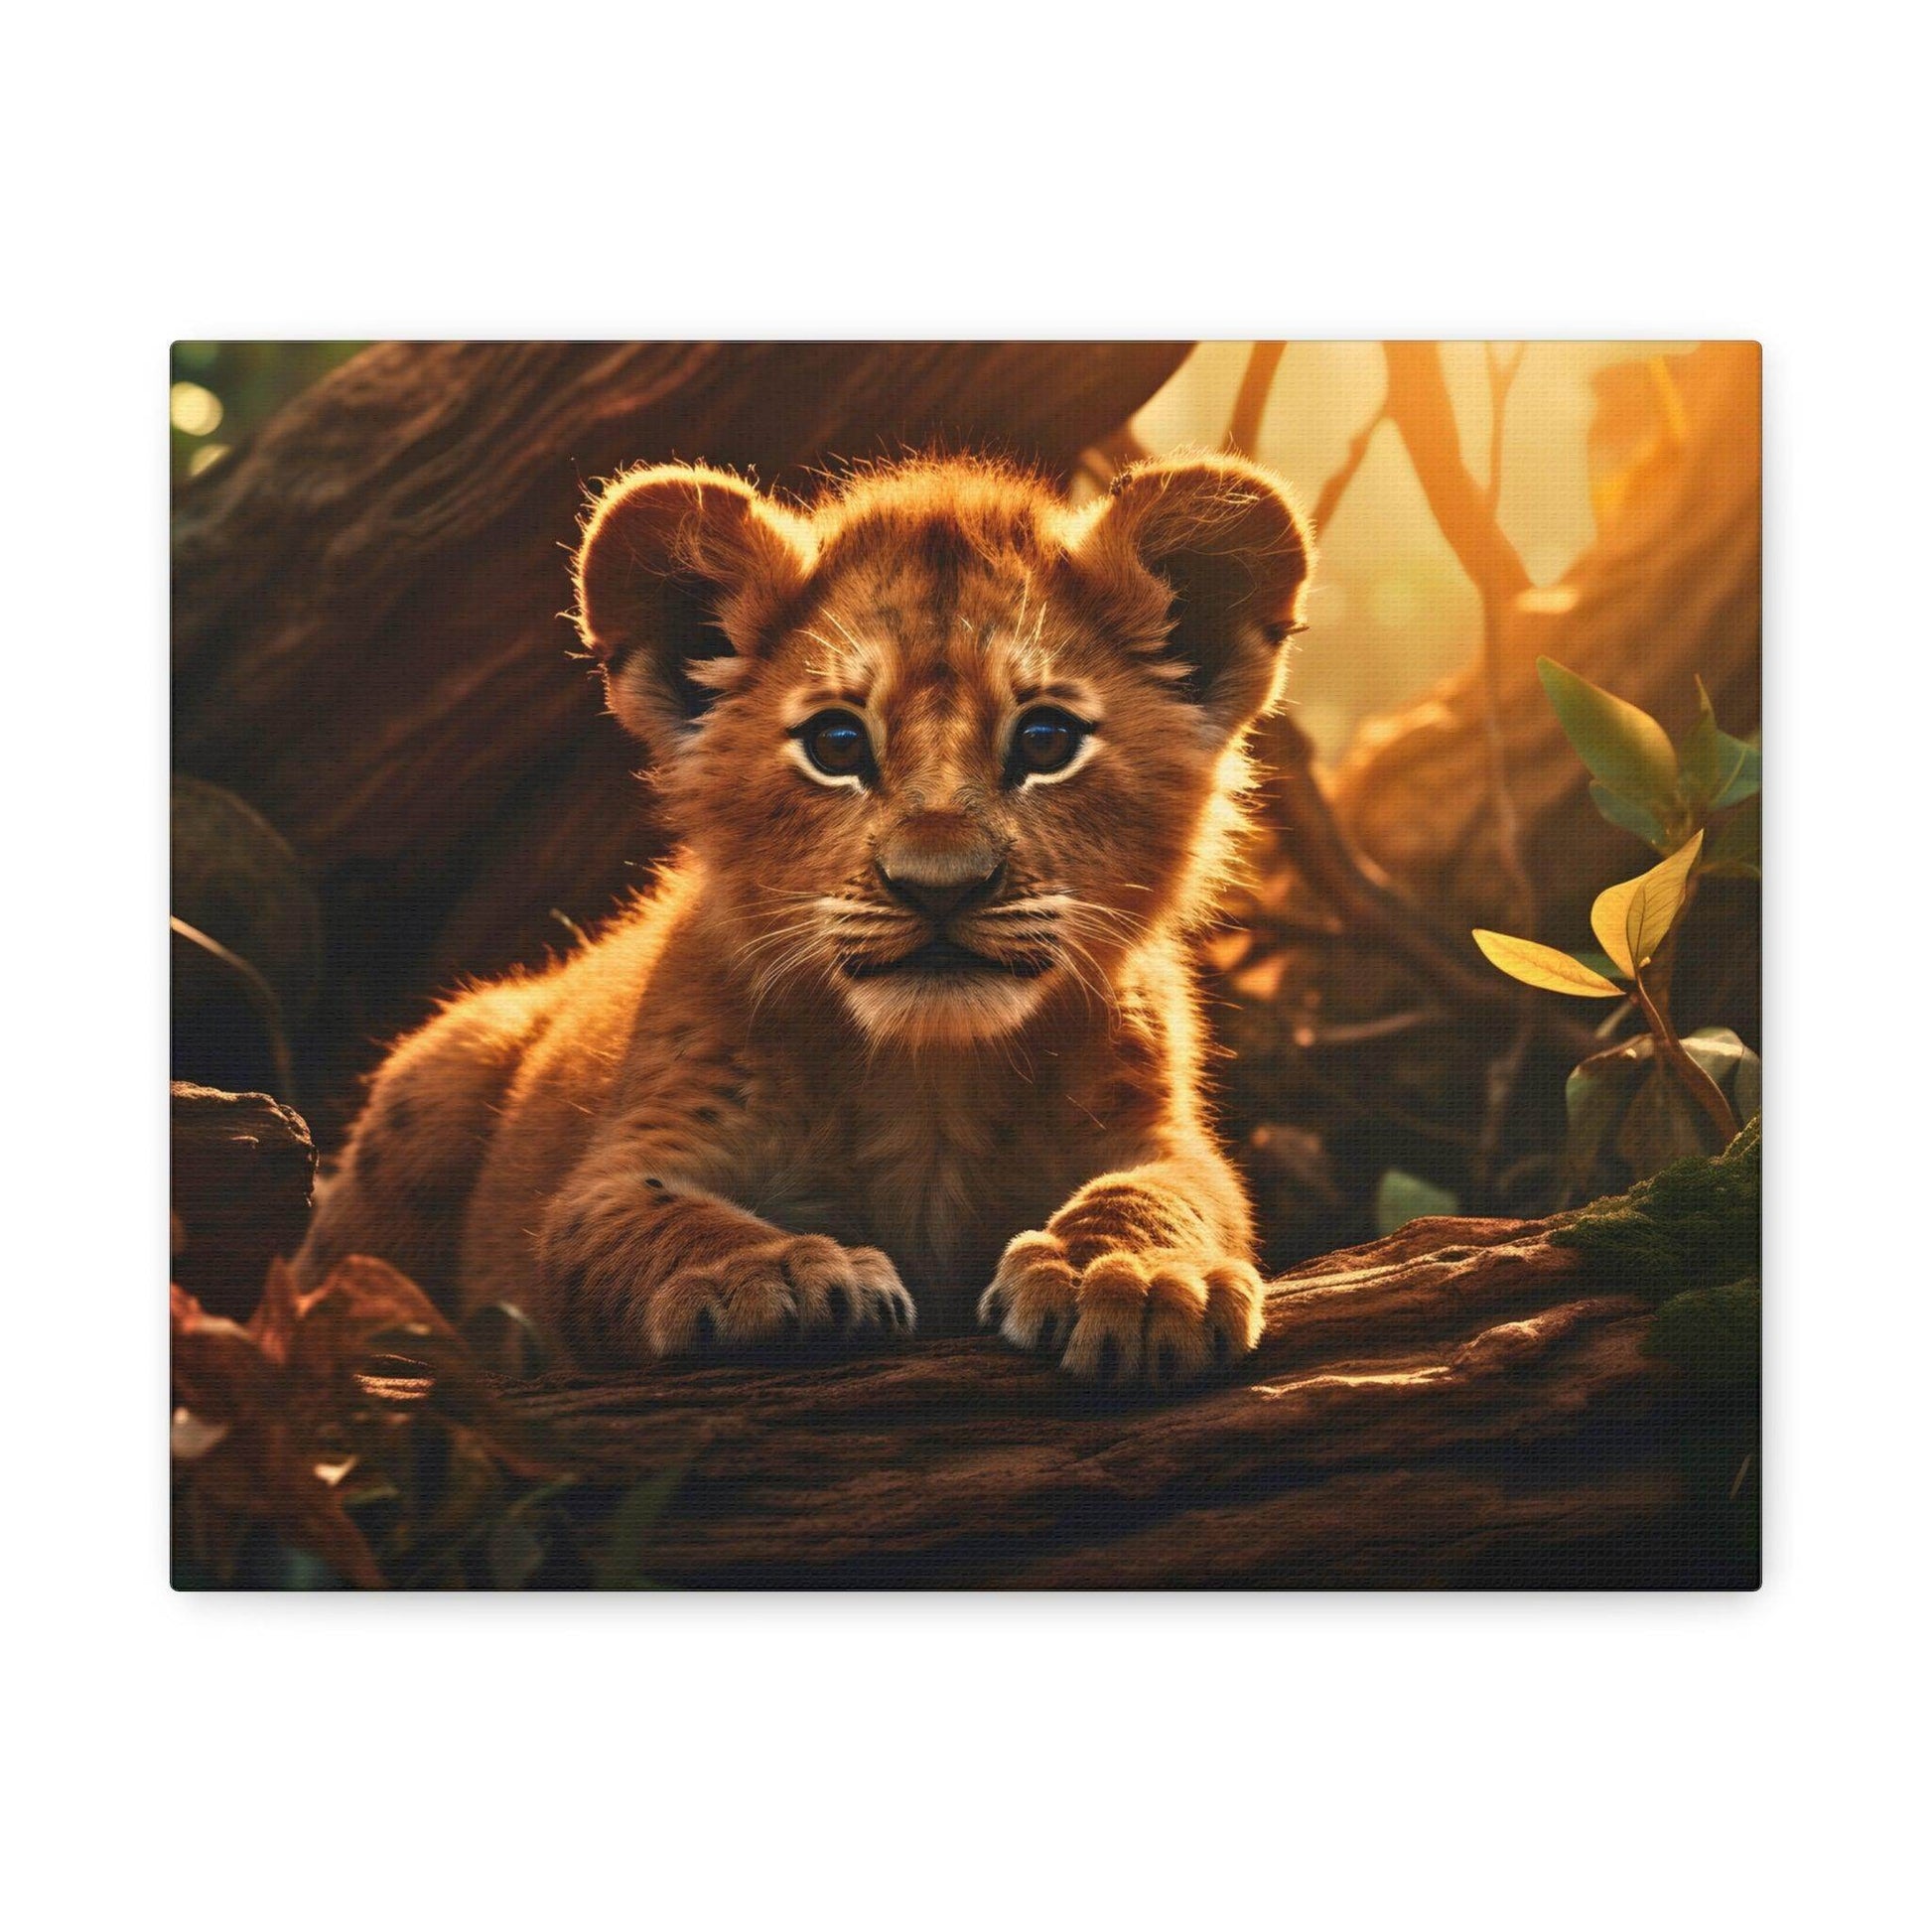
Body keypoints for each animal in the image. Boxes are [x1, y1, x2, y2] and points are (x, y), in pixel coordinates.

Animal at [294, 452, 1313, 1384]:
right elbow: (656, 1218)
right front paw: (768, 1276)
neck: (930, 1083)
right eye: (836, 743)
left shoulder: (1163, 1134)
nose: (939, 885)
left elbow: (1163, 1192)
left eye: (1046, 740)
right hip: (440, 1071)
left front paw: (1132, 1276)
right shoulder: (623, 1162)